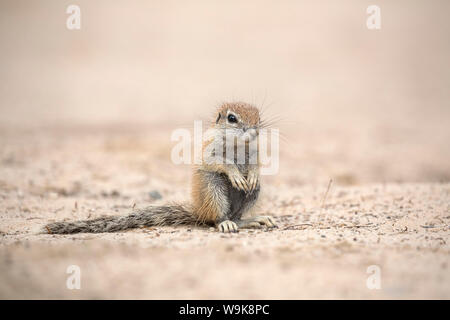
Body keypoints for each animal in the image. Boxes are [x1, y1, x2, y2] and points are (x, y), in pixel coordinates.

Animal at [45, 101, 278, 234]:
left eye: (259, 117)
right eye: (232, 118)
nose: (255, 131)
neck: (238, 145)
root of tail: (199, 211)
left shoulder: (255, 152)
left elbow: (257, 163)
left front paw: (252, 174)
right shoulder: (209, 150)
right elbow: (217, 162)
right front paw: (235, 174)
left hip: (253, 194)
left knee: (237, 216)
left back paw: (253, 219)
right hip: (212, 189)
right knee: (216, 219)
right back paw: (225, 224)